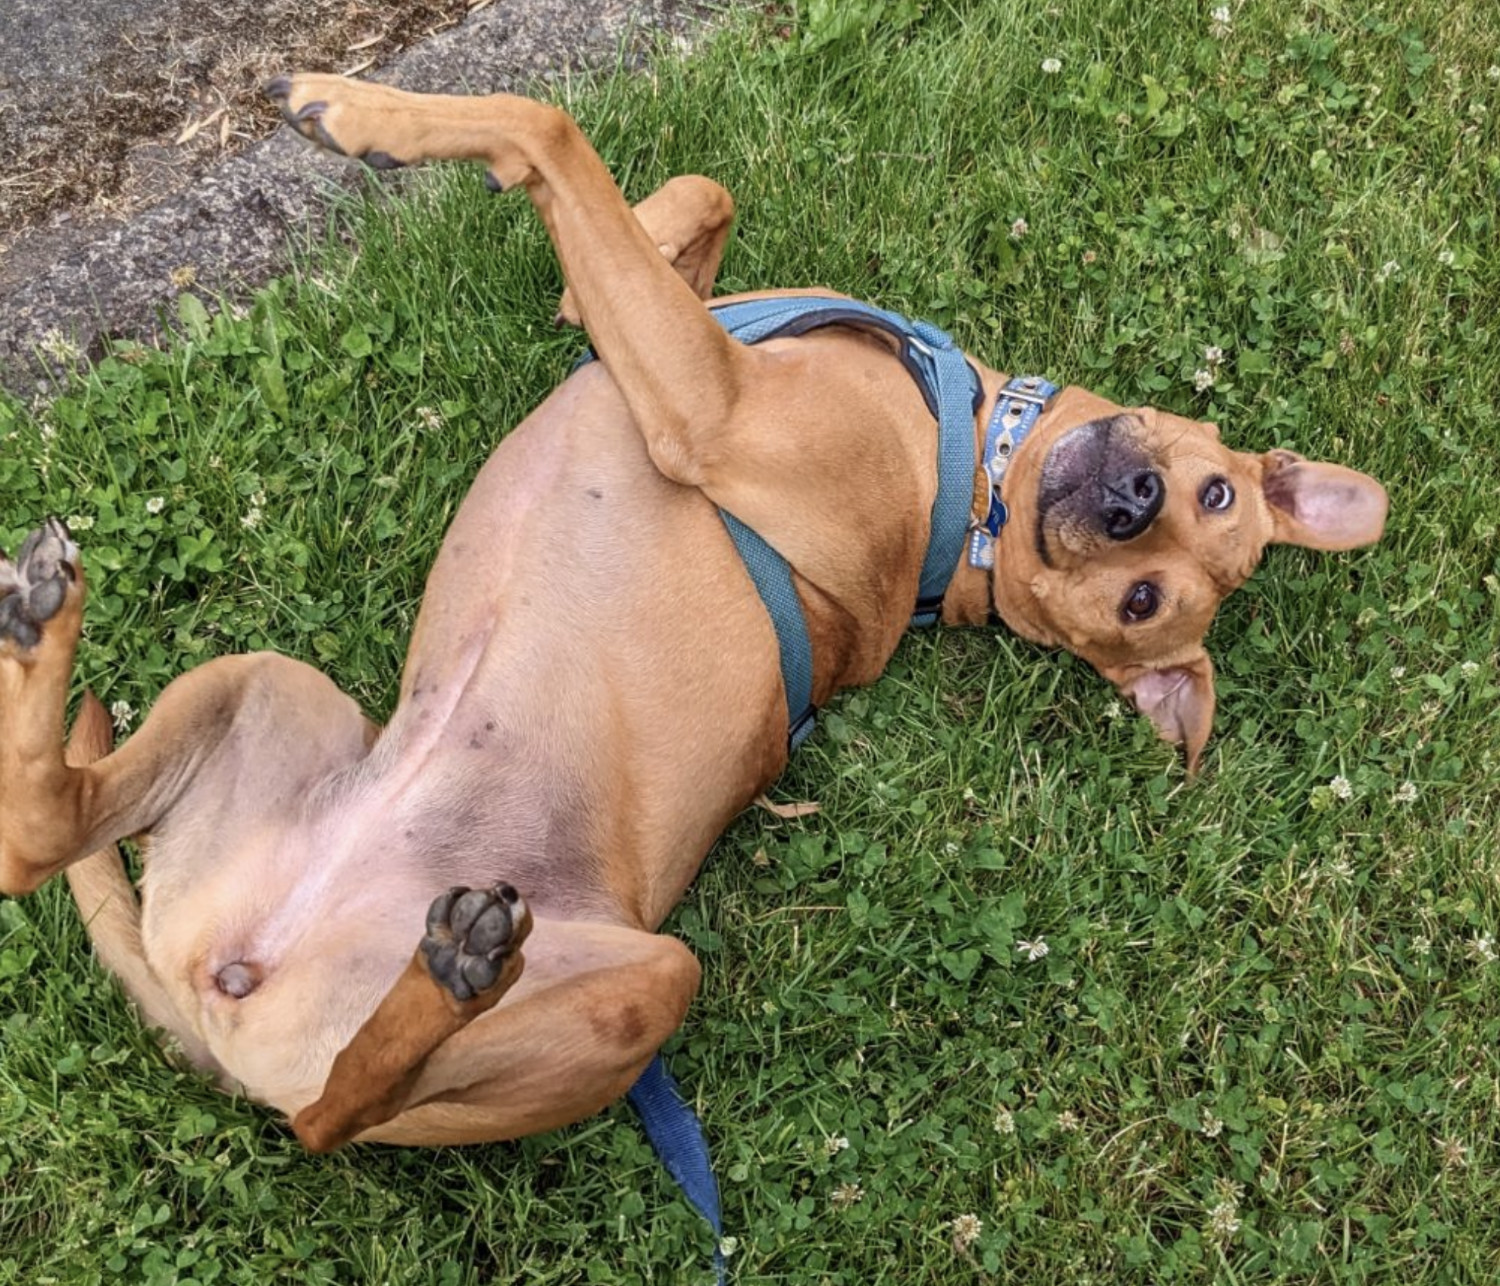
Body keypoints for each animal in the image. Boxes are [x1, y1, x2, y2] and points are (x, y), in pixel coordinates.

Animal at [0, 75, 1380, 1146]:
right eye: (1206, 494)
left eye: (1146, 599)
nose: (1135, 503)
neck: (963, 488)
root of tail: (229, 990)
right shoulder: (685, 333)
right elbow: (696, 196)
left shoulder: (704, 404)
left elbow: (547, 126)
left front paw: (359, 114)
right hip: (262, 683)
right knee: (48, 823)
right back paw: (47, 632)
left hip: (641, 979)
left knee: (323, 1114)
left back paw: (449, 975)